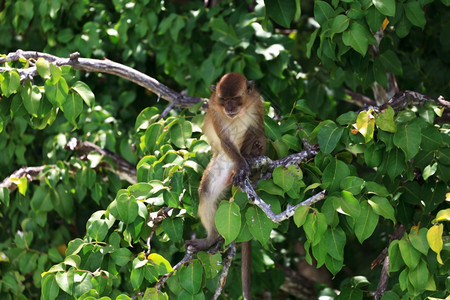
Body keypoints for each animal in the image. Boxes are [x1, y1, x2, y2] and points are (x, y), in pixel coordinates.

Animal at [185, 72, 266, 300]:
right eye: (224, 100)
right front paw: (242, 164)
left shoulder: (256, 103)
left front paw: (252, 152)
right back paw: (210, 239)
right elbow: (224, 138)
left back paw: (253, 154)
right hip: (221, 164)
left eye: (236, 99)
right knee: (206, 193)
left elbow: (258, 130)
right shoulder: (214, 109)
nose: (229, 107)